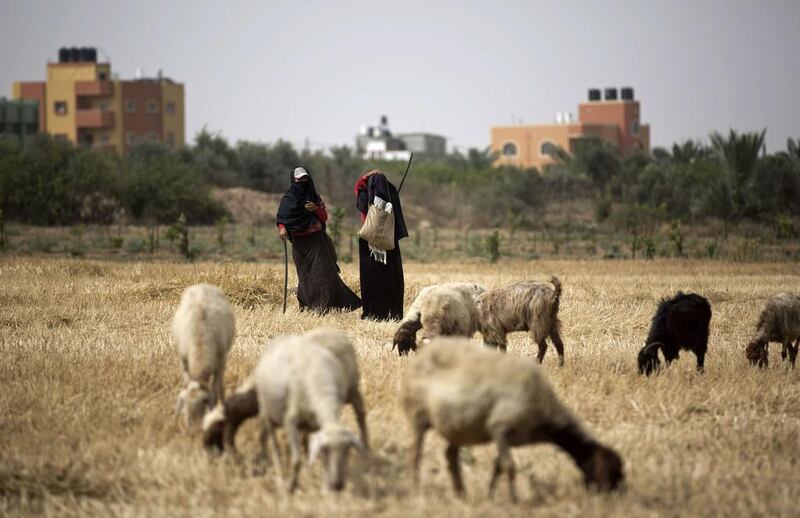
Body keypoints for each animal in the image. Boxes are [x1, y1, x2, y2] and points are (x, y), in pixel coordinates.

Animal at [173, 284, 236, 430]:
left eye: (203, 403)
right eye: (185, 404)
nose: (192, 429)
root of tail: (202, 285)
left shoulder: (221, 362)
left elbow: (216, 388)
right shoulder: (184, 361)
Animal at [255, 332, 368, 494]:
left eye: (347, 450)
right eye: (326, 449)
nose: (338, 485)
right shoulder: (291, 421)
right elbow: (296, 460)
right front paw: (291, 486)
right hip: (267, 413)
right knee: (273, 445)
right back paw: (279, 473)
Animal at [404, 338, 620, 504]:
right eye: (607, 472)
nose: (611, 499)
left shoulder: (509, 437)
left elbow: (498, 465)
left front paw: (490, 496)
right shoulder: (499, 427)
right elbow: (509, 466)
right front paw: (514, 500)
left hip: (457, 423)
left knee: (450, 456)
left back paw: (461, 494)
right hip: (419, 416)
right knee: (415, 453)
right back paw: (415, 488)